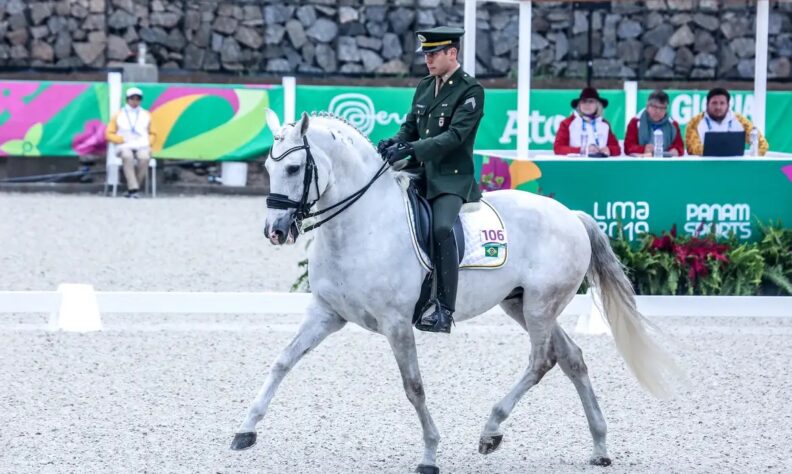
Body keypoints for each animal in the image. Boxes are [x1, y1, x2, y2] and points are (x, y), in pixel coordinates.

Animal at [234, 109, 680, 472]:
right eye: (268, 167)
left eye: (295, 168)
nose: (275, 231)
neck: (363, 224)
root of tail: (571, 215)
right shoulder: (327, 314)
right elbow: (282, 361)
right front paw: (245, 430)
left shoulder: (397, 324)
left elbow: (413, 387)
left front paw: (430, 454)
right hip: (521, 305)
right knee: (572, 358)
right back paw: (600, 447)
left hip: (540, 305)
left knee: (542, 360)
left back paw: (491, 431)